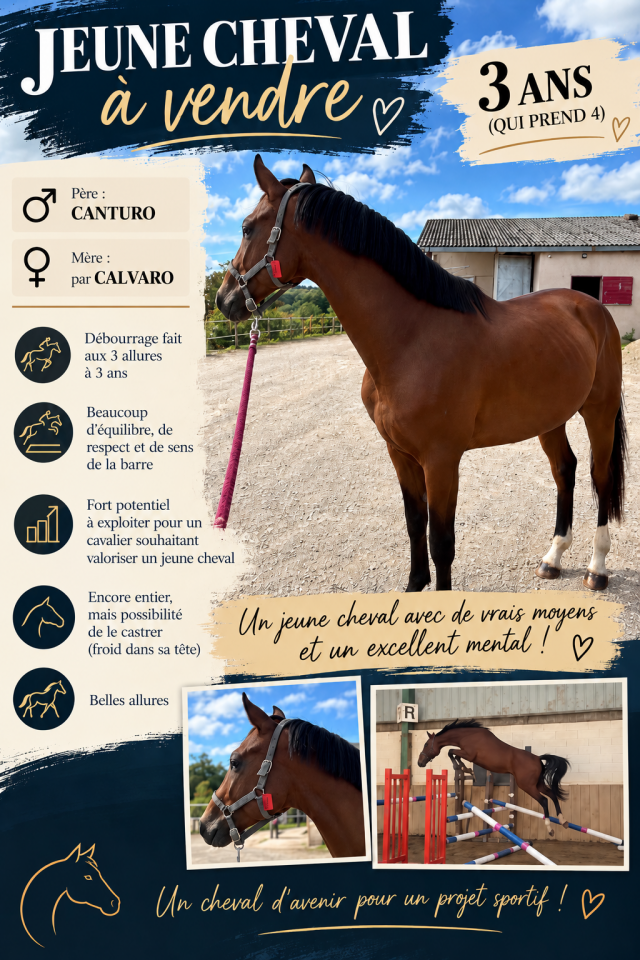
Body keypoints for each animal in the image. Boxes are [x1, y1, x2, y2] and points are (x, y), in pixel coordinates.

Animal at [215, 155, 627, 592]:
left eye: (247, 227)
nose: (223, 299)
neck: (411, 340)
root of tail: (592, 308)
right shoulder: (399, 453)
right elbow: (415, 525)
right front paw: (414, 587)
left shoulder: (441, 461)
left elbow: (441, 543)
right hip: (550, 418)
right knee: (565, 470)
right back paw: (553, 557)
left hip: (599, 413)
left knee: (600, 477)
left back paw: (597, 568)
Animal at [417, 719, 569, 836]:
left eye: (426, 744)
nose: (420, 762)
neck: (467, 735)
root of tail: (538, 759)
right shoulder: (465, 753)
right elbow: (454, 754)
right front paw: (467, 770)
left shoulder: (468, 754)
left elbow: (451, 752)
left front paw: (462, 768)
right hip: (538, 784)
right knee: (553, 795)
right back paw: (563, 821)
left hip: (527, 786)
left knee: (544, 800)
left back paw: (550, 829)